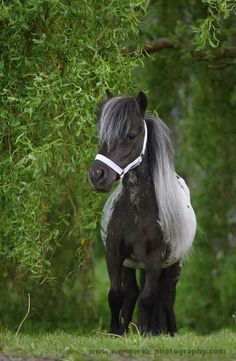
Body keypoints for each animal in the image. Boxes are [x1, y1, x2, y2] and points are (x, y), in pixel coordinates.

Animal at [87, 92, 196, 334]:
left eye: (131, 135)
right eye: (102, 134)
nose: (97, 175)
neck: (136, 211)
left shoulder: (154, 261)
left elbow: (149, 298)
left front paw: (145, 334)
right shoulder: (114, 255)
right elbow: (115, 295)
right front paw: (116, 332)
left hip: (172, 267)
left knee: (166, 298)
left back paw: (167, 332)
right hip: (131, 266)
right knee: (132, 293)